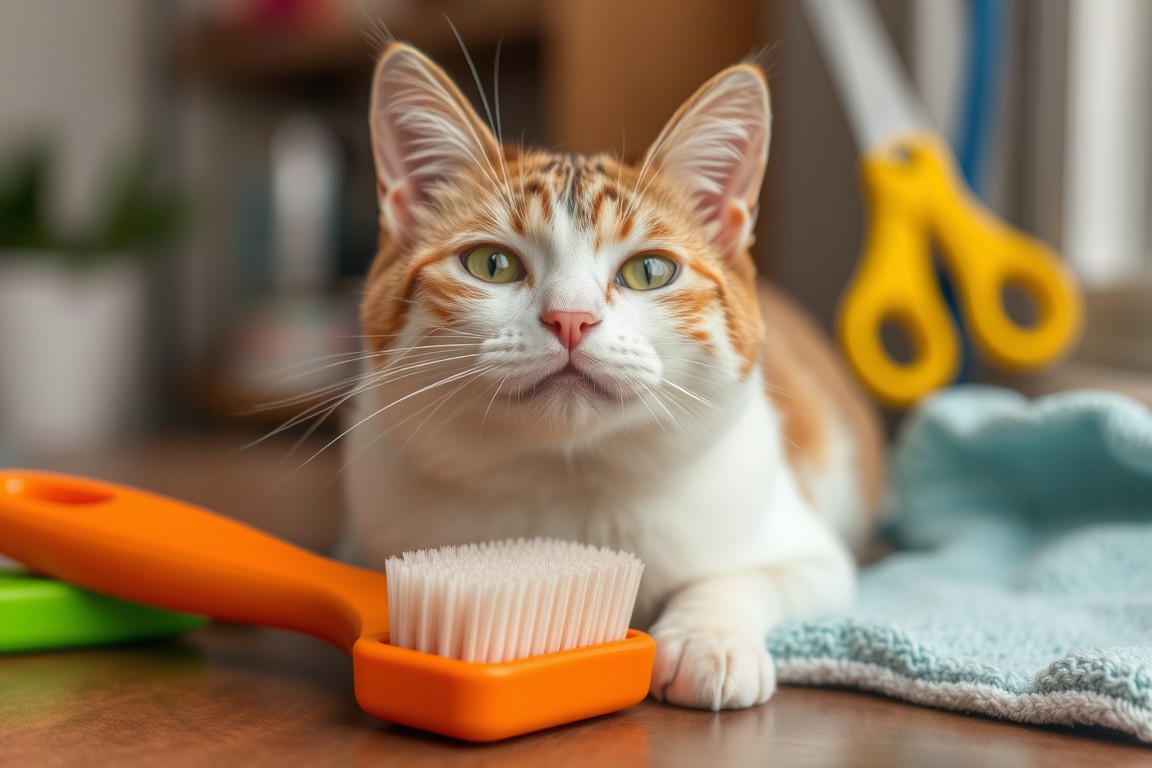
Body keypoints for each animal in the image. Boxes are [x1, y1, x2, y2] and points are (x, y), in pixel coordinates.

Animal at [340, 42, 880, 713]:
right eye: (491, 264)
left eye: (650, 271)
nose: (571, 319)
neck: (569, 482)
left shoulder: (813, 555)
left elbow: (747, 577)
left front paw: (709, 637)